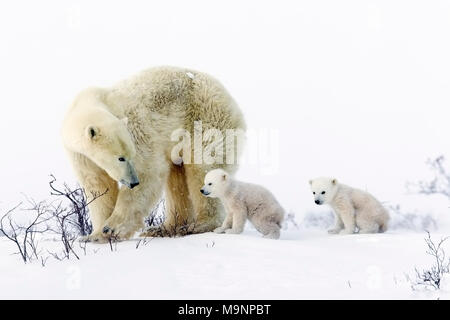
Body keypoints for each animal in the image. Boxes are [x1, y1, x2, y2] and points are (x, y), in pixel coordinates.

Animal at [60, 66, 246, 241]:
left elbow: (148, 170)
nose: (133, 182)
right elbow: (97, 184)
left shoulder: (135, 128)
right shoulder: (80, 155)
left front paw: (111, 228)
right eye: (120, 158)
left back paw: (199, 225)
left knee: (202, 167)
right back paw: (165, 228)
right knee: (177, 180)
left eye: (130, 155)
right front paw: (94, 236)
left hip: (206, 120)